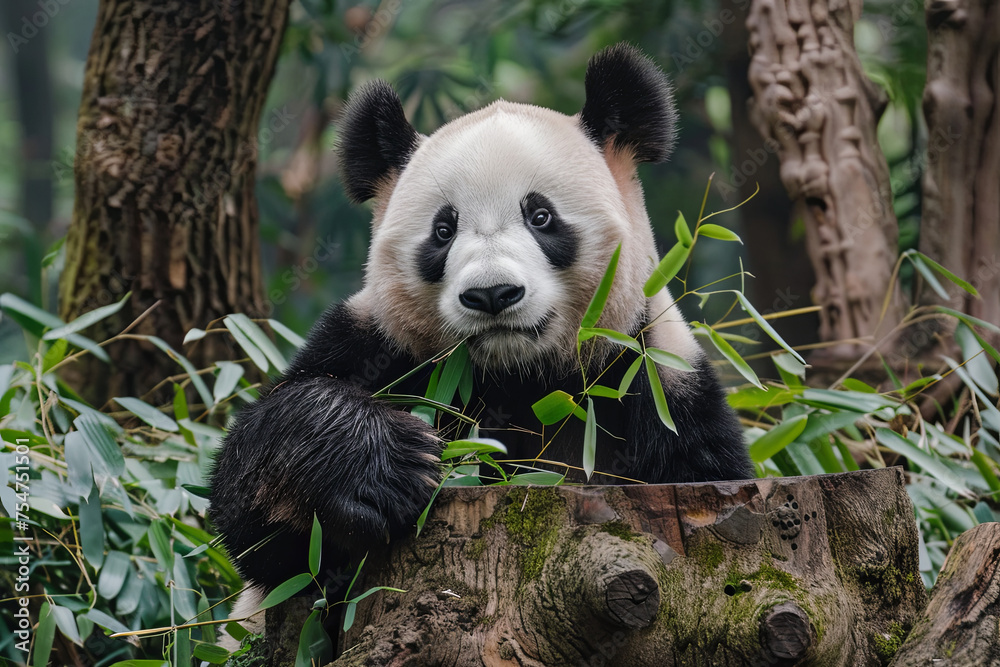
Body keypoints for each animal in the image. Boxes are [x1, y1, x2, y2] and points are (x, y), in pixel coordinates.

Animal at [209, 43, 752, 617]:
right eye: (443, 230)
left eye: (541, 216)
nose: (492, 294)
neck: (520, 379)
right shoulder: (376, 346)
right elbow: (261, 527)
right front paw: (391, 467)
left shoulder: (656, 379)